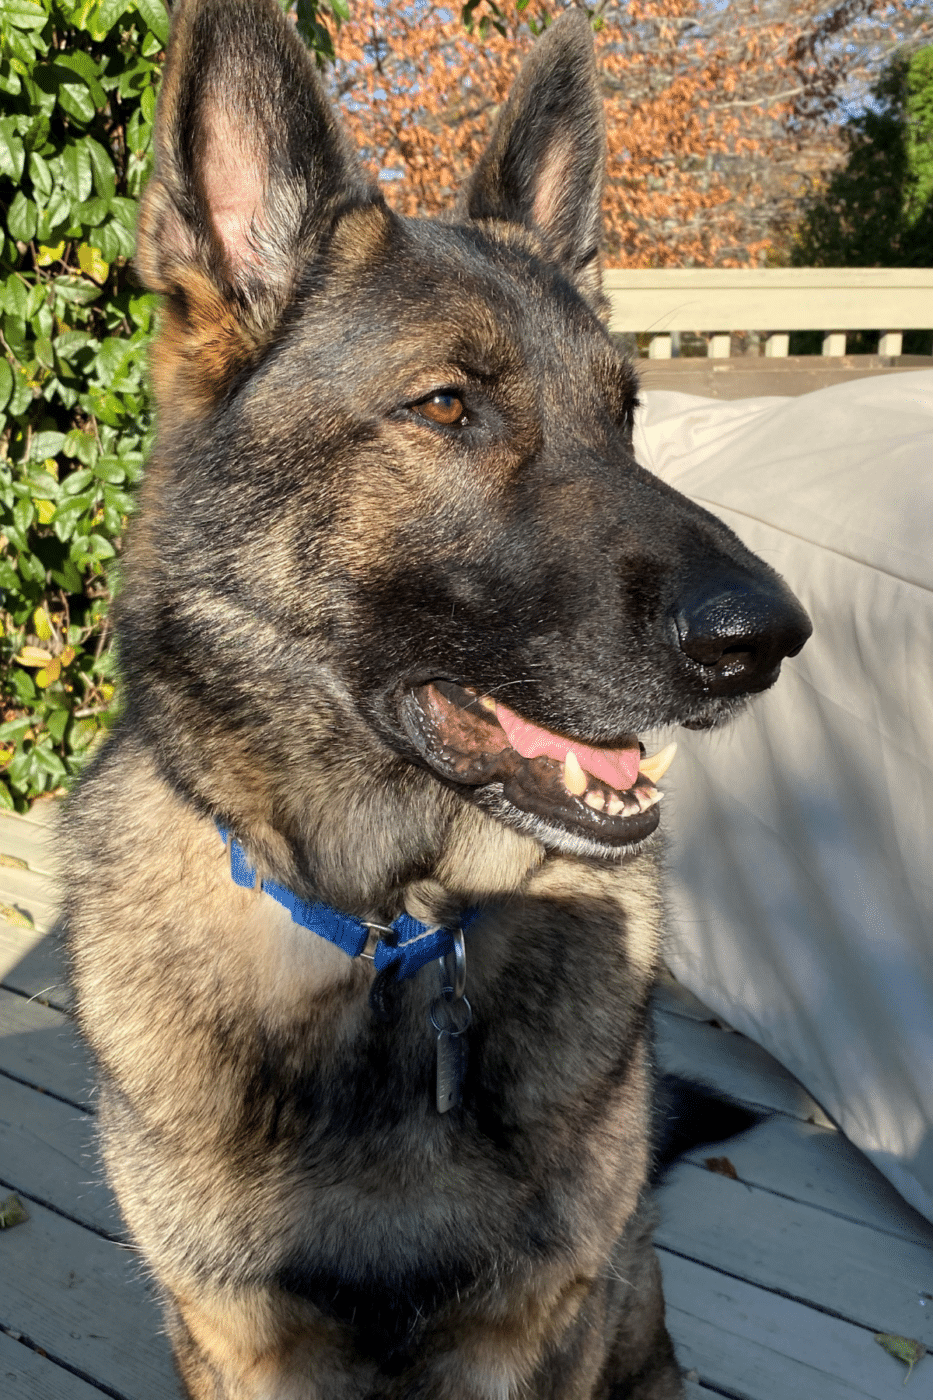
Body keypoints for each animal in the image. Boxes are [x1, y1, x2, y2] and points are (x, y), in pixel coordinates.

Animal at [63, 2, 806, 1400]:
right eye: (448, 404)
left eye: (628, 416)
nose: (770, 638)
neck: (392, 927)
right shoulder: (240, 1336)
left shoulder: (531, 1324)